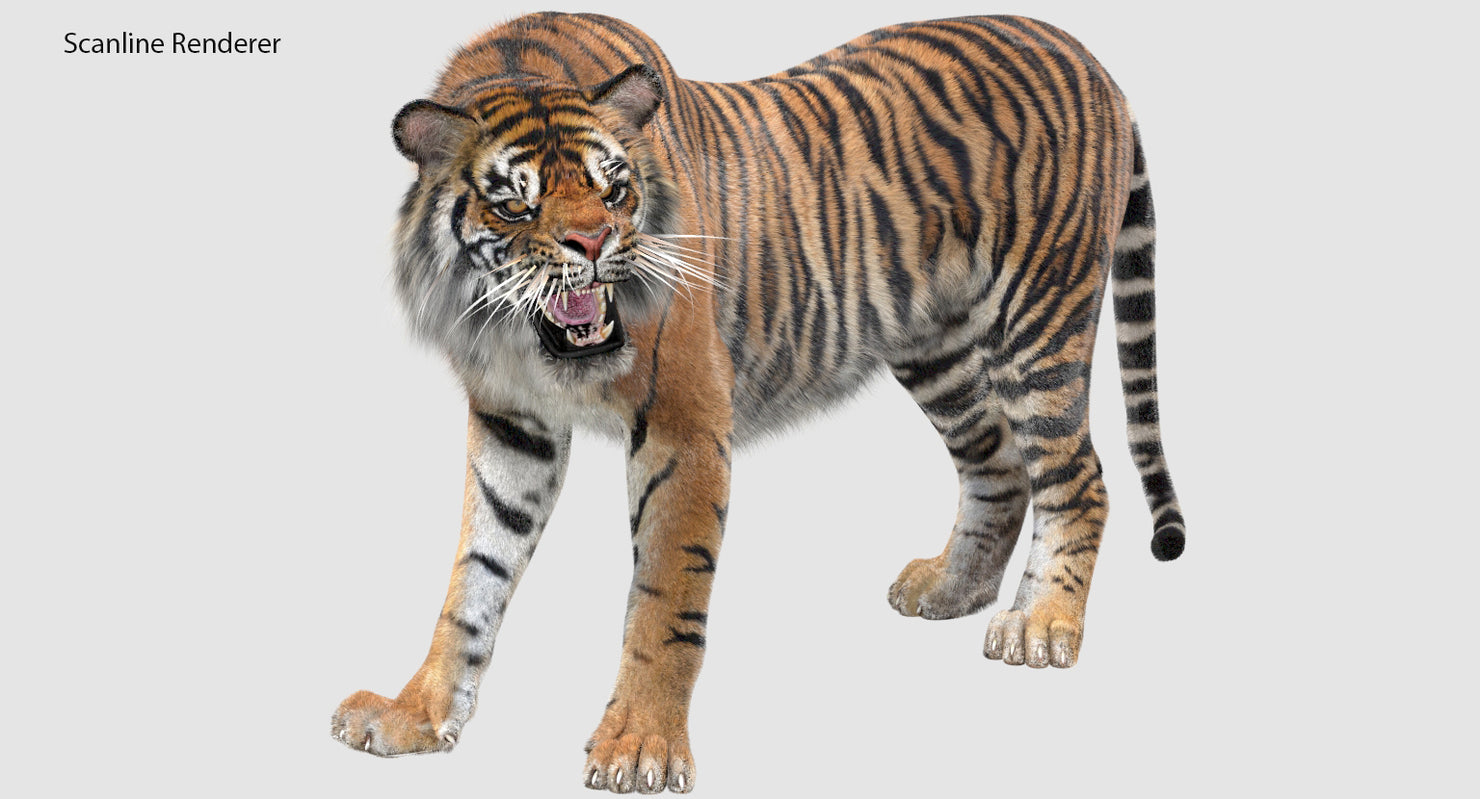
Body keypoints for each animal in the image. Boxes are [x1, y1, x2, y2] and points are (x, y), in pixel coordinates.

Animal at [330, 11, 1186, 794]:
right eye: (516, 205)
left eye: (614, 189)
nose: (595, 244)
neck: (522, 336)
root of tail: (1085, 53)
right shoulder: (514, 424)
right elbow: (475, 575)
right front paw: (416, 713)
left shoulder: (682, 424)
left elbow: (664, 594)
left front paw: (639, 745)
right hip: (935, 345)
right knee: (998, 464)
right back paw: (951, 587)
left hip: (1040, 319)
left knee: (1078, 476)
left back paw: (1042, 623)